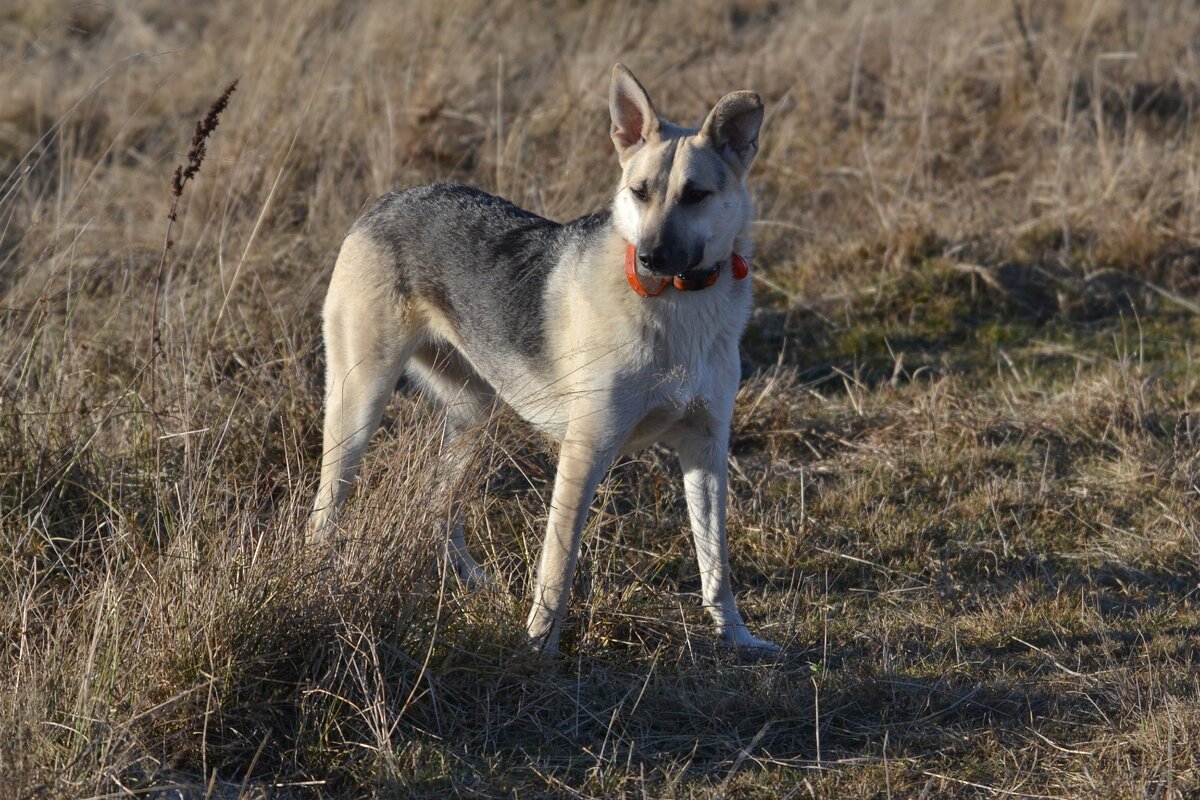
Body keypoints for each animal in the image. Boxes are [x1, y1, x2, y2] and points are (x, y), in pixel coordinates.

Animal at [309, 65, 777, 652]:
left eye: (696, 195)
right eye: (639, 192)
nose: (650, 259)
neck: (679, 306)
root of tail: (386, 201)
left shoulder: (706, 448)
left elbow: (716, 564)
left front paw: (736, 637)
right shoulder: (585, 451)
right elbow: (558, 564)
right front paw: (538, 648)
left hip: (474, 415)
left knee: (439, 508)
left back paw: (471, 580)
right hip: (360, 406)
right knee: (325, 512)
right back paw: (318, 582)